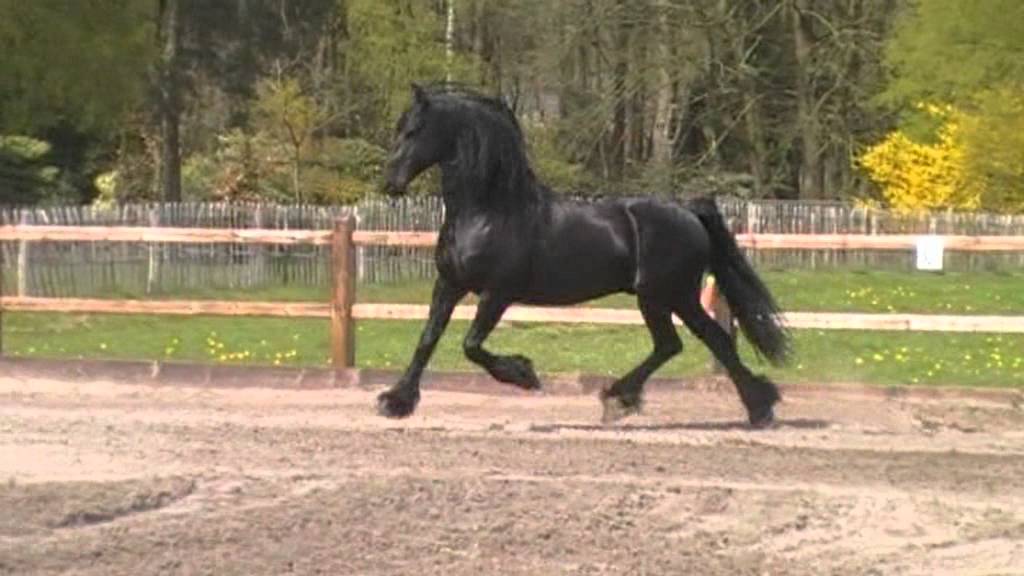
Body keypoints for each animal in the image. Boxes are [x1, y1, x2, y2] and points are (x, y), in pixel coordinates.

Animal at [377, 83, 791, 428]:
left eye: (415, 130)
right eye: (399, 128)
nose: (389, 183)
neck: (488, 211)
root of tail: (688, 211)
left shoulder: (497, 294)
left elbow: (471, 345)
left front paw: (524, 374)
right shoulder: (448, 284)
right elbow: (428, 339)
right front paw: (396, 401)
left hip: (669, 295)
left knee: (704, 341)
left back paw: (752, 408)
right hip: (662, 298)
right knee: (678, 344)